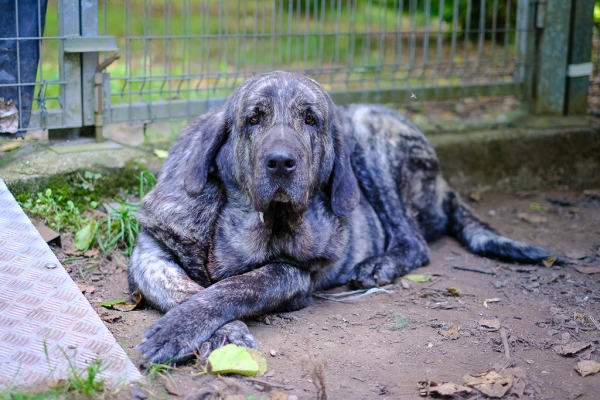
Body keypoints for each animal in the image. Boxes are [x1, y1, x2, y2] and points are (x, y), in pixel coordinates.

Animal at [127, 70, 556, 364]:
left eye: (311, 120)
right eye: (254, 118)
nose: (281, 162)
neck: (242, 227)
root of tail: (445, 185)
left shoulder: (292, 275)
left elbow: (237, 287)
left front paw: (186, 329)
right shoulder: (151, 255)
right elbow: (187, 289)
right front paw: (217, 332)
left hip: (369, 138)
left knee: (414, 241)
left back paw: (379, 265)